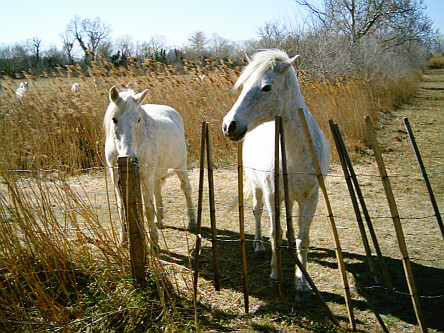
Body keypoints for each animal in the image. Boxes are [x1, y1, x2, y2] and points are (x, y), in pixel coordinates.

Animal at [104, 87, 196, 245]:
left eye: (138, 119)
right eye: (114, 119)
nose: (130, 157)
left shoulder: (146, 176)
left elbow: (147, 210)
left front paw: (154, 243)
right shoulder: (116, 178)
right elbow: (121, 208)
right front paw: (123, 241)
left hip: (180, 166)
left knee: (186, 189)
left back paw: (191, 221)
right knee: (157, 191)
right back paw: (159, 221)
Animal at [222, 50, 330, 300]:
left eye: (266, 87)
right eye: (243, 86)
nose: (229, 125)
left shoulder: (311, 198)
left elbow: (303, 240)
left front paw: (301, 284)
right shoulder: (272, 195)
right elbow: (275, 234)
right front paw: (274, 276)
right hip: (259, 189)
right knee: (257, 212)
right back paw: (259, 248)